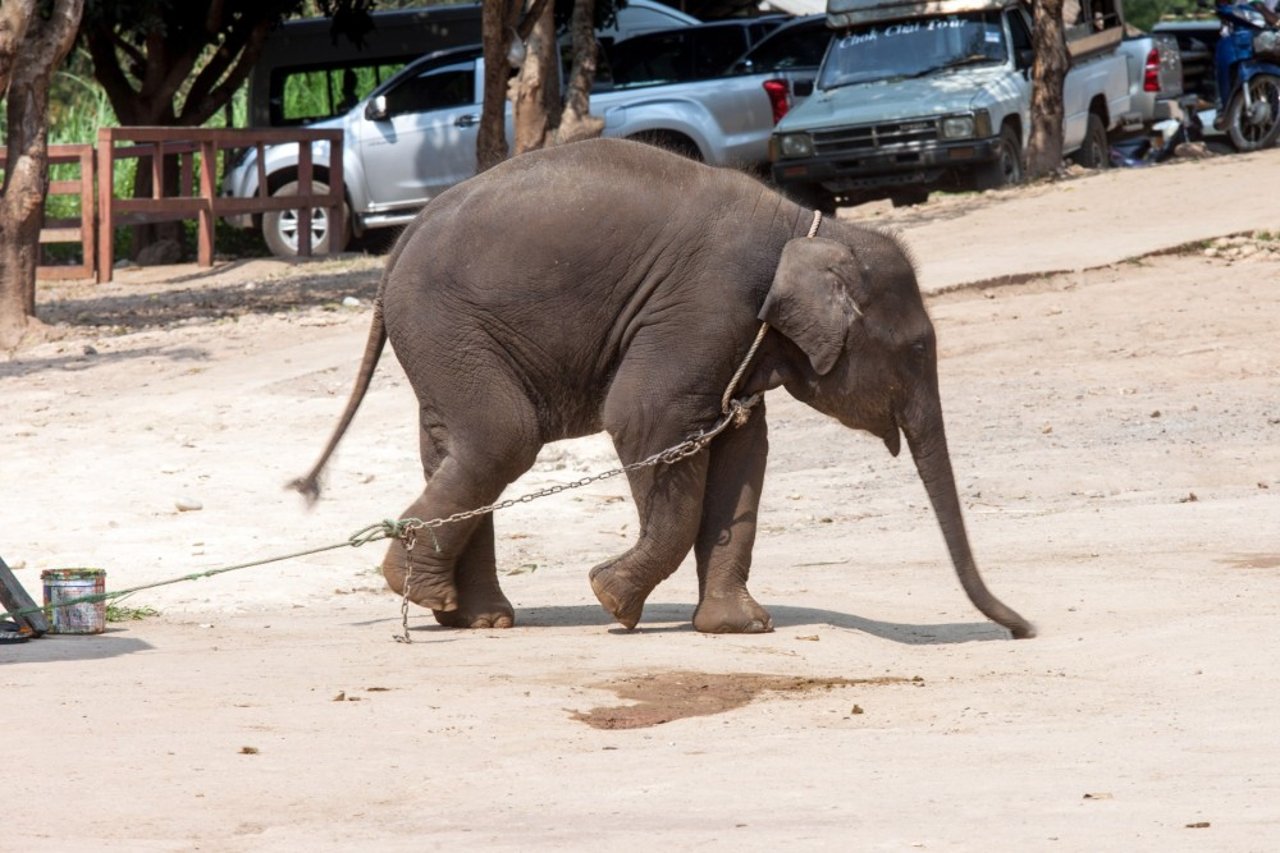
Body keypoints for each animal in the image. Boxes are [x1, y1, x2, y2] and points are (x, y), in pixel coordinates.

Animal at [294, 136, 1034, 635]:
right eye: (918, 348)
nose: (1024, 627)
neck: (810, 227)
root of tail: (400, 241)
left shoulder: (737, 341)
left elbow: (744, 451)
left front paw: (738, 627)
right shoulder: (707, 307)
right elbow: (646, 421)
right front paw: (612, 599)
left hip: (443, 337)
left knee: (454, 446)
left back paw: (467, 614)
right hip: (447, 325)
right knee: (503, 438)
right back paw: (421, 589)